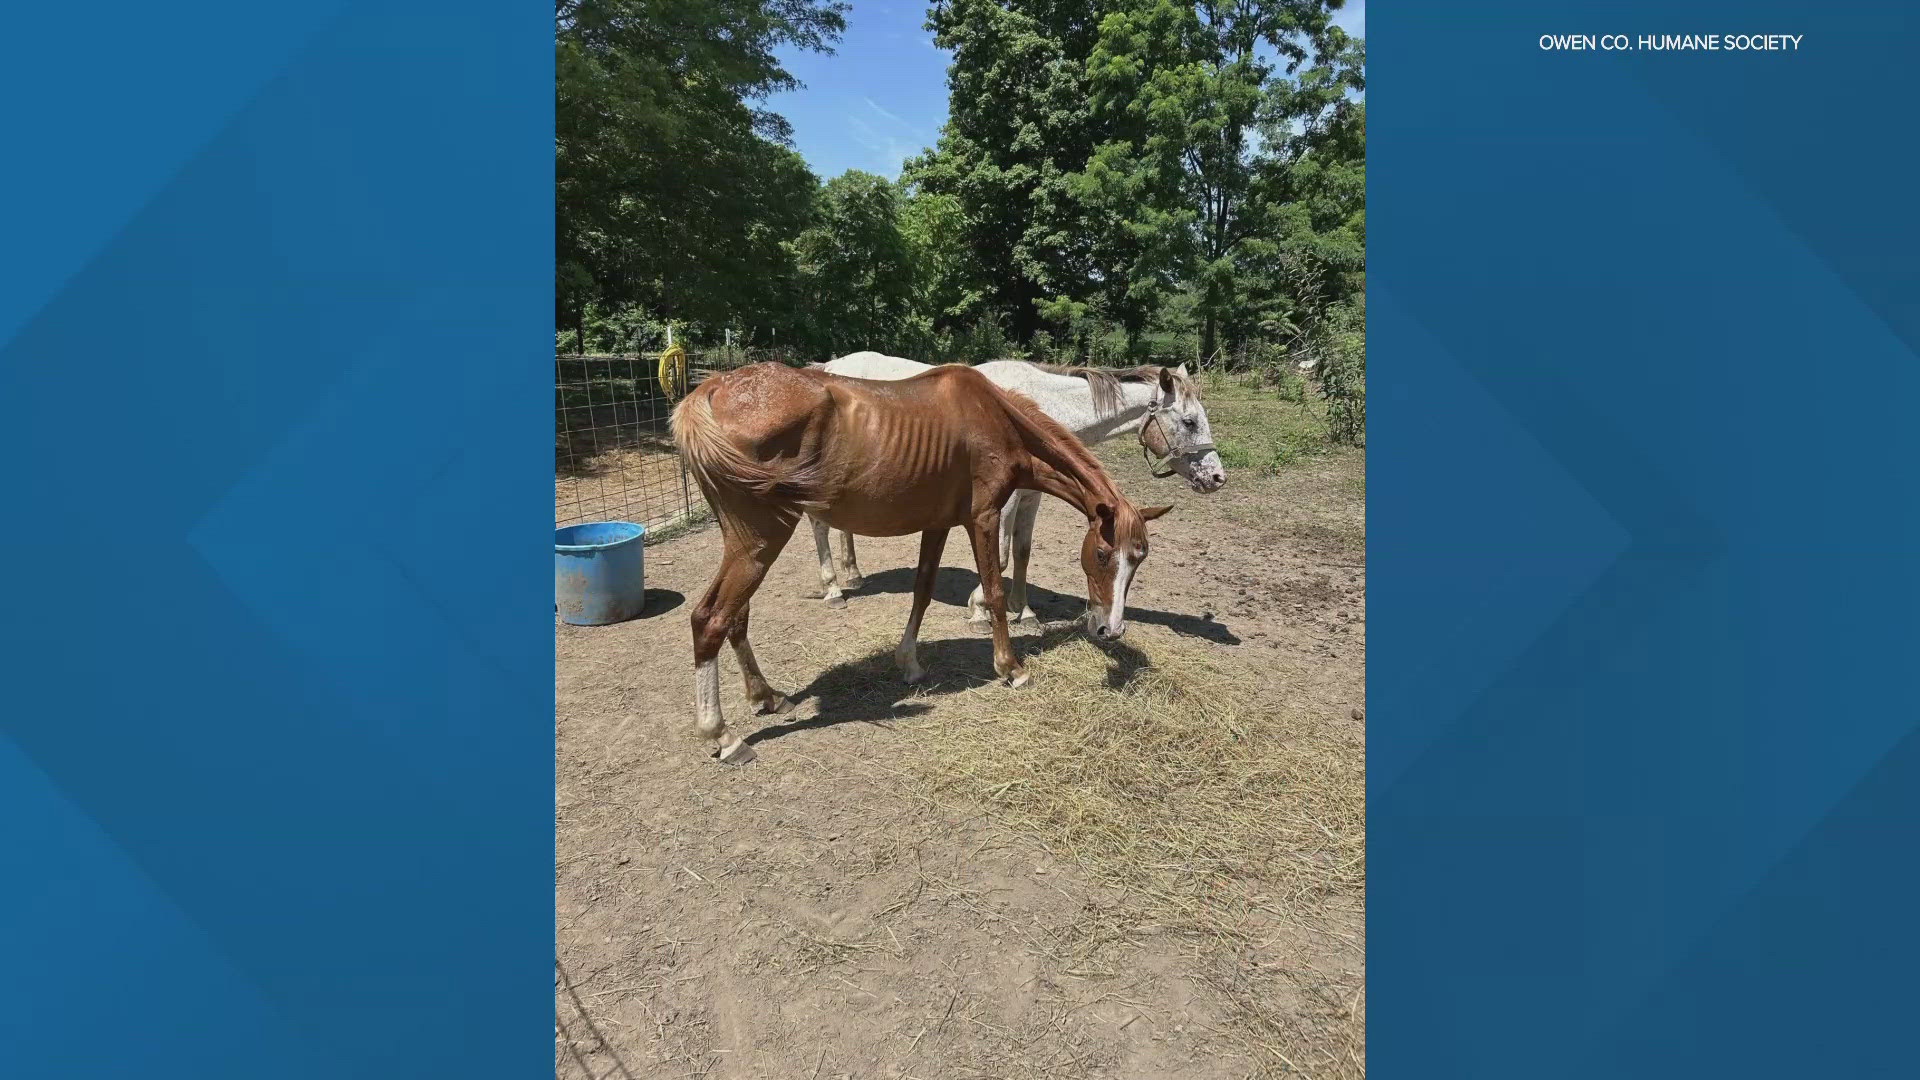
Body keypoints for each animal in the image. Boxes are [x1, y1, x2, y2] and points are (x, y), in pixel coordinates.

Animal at [675, 359, 1167, 757]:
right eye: (1102, 553)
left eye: (1138, 561)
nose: (1110, 629)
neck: (996, 417)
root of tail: (711, 390)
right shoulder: (984, 518)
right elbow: (993, 588)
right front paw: (1011, 668)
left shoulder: (938, 524)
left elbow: (923, 590)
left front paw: (909, 663)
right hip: (762, 539)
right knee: (710, 619)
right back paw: (722, 735)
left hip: (746, 544)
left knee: (736, 617)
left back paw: (766, 696)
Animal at [810, 351, 1228, 618]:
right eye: (1189, 421)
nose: (1216, 477)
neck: (1033, 406)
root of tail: (828, 367)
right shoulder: (1003, 499)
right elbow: (1002, 553)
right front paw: (980, 607)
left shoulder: (1031, 498)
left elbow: (1023, 552)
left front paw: (1023, 610)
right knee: (819, 524)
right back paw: (833, 590)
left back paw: (854, 575)